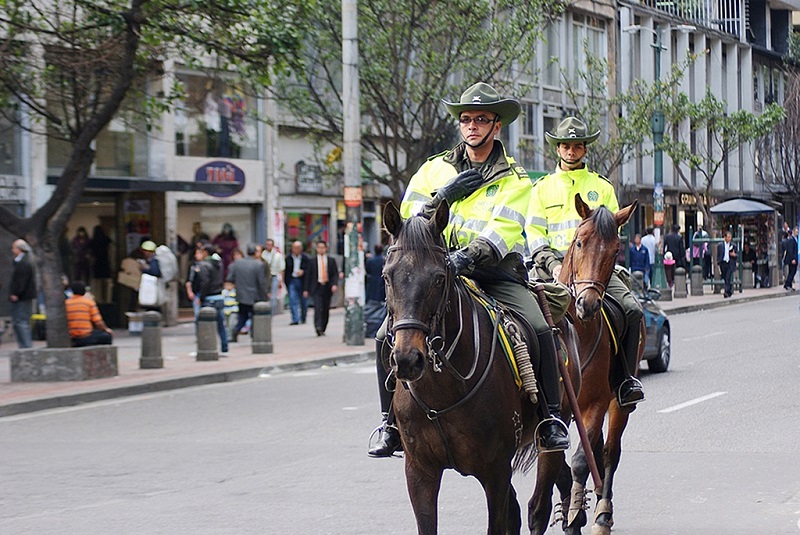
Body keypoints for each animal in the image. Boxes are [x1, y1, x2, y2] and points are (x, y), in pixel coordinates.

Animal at [384, 202, 580, 535]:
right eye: (387, 276)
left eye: (439, 278)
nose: (408, 359)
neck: (443, 393)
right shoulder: (419, 472)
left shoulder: (495, 472)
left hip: (550, 441)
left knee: (538, 507)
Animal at [544, 196, 644, 535]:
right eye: (579, 242)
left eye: (615, 250)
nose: (587, 305)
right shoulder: (560, 410)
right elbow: (564, 464)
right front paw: (568, 513)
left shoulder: (596, 404)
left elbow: (579, 462)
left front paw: (577, 513)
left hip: (618, 404)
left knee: (610, 452)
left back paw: (603, 513)